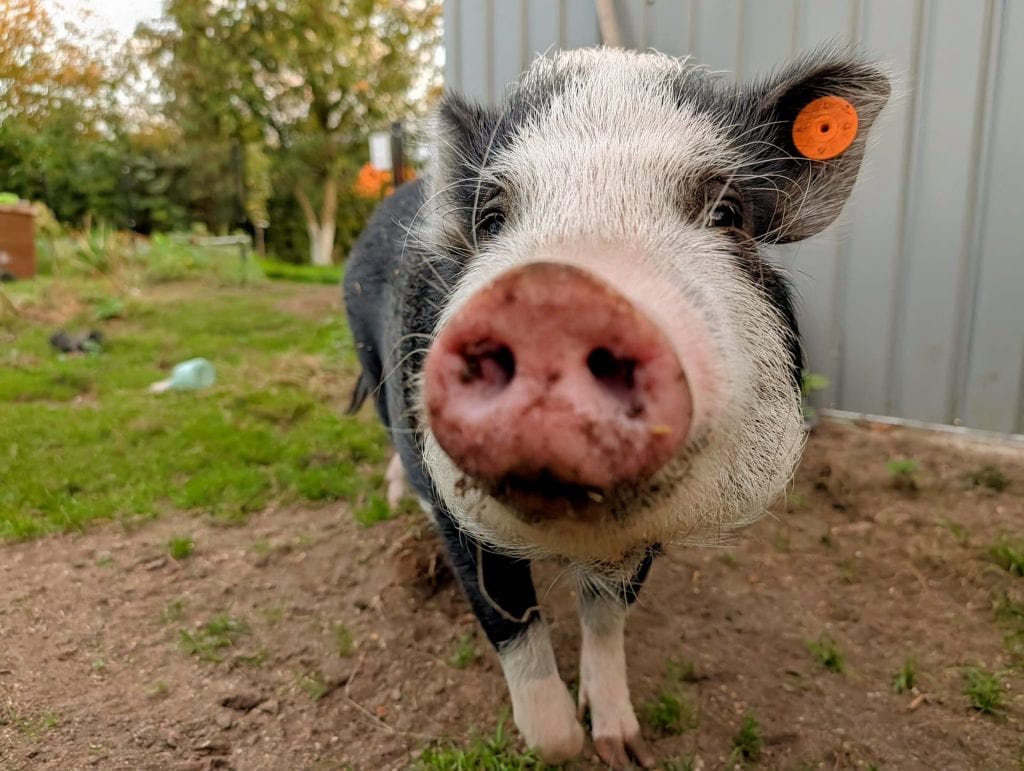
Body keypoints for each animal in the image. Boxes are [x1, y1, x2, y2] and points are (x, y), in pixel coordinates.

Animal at [344, 45, 888, 768]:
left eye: (728, 213)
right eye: (492, 219)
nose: (552, 299)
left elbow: (606, 615)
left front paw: (623, 746)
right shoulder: (452, 503)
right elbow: (510, 625)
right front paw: (562, 745)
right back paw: (391, 499)